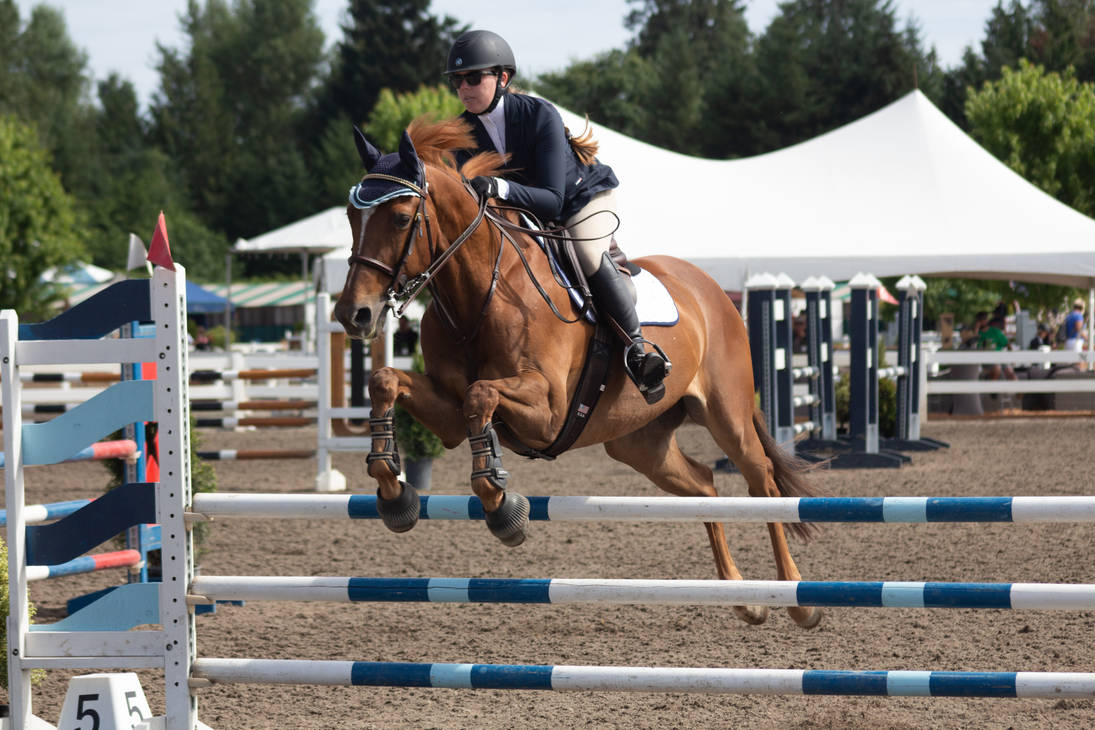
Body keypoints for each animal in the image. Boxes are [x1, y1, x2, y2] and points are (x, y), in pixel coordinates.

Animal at [333, 117, 825, 629]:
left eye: (400, 218)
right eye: (350, 216)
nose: (354, 315)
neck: (479, 294)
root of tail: (711, 290)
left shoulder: (547, 410)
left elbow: (480, 395)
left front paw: (501, 507)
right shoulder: (449, 418)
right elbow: (388, 381)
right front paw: (394, 492)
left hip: (727, 414)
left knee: (761, 481)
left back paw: (798, 598)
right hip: (640, 443)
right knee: (705, 485)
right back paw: (744, 598)